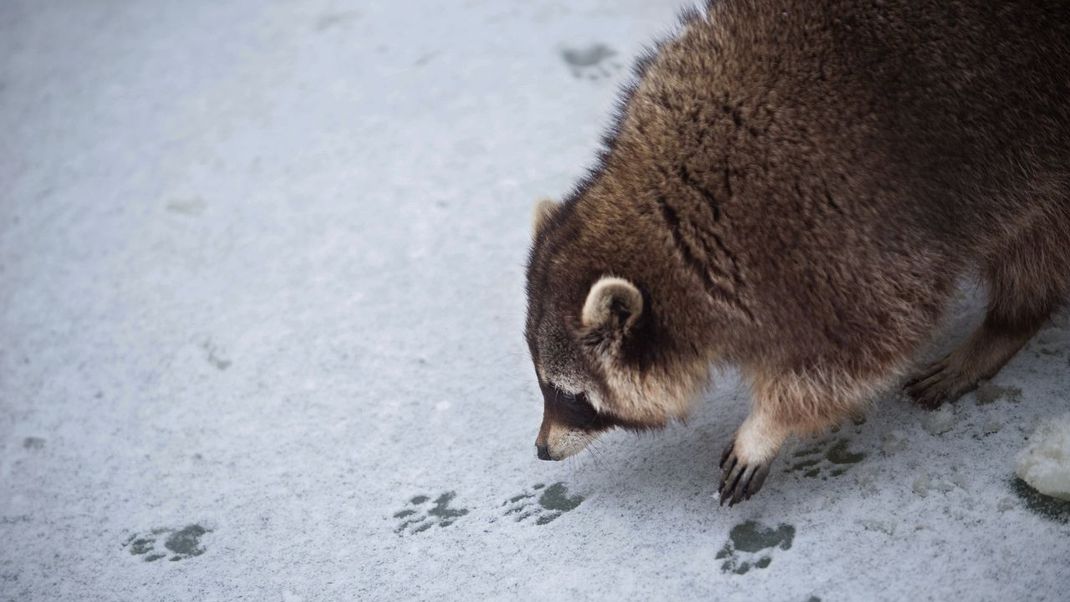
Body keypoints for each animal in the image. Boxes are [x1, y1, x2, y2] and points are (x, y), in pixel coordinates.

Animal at [522, 0, 1065, 506]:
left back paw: (1007, 325)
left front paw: (767, 425)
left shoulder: (845, 236)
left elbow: (868, 345)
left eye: (570, 396)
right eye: (545, 385)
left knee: (1036, 240)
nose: (541, 450)